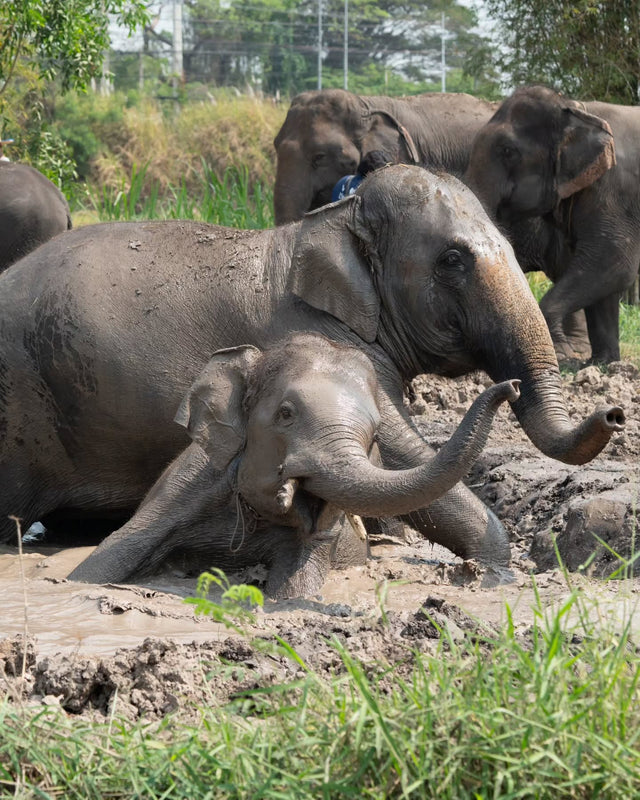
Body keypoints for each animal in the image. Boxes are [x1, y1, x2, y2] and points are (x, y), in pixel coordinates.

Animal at [68, 333, 520, 596]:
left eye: (375, 436)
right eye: (285, 414)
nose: (512, 385)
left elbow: (294, 592)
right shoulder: (180, 495)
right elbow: (96, 565)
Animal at [465, 84, 640, 364]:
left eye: (507, 151)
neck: (576, 108)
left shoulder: (617, 190)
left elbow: (614, 260)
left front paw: (560, 354)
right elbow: (606, 273)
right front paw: (602, 363)